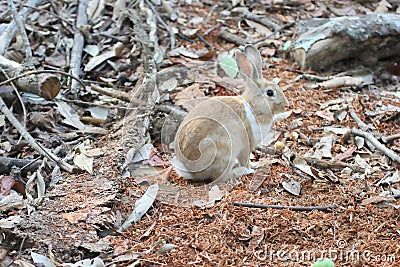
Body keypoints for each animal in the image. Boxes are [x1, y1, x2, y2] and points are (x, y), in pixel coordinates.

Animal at [172, 45, 288, 185]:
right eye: (270, 93)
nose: (286, 104)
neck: (253, 107)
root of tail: (191, 171)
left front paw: (255, 165)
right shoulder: (246, 147)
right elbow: (245, 160)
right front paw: (251, 168)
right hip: (224, 150)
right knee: (219, 177)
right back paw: (241, 172)